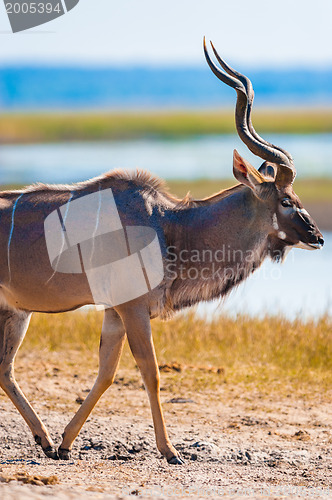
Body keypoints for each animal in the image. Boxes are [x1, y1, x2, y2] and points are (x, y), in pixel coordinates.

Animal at [0, 39, 322, 464]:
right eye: (286, 200)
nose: (318, 237)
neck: (169, 225)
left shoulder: (115, 311)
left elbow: (106, 373)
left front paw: (65, 443)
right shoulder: (133, 308)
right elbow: (150, 372)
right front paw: (170, 450)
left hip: (16, 311)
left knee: (4, 368)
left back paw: (46, 440)